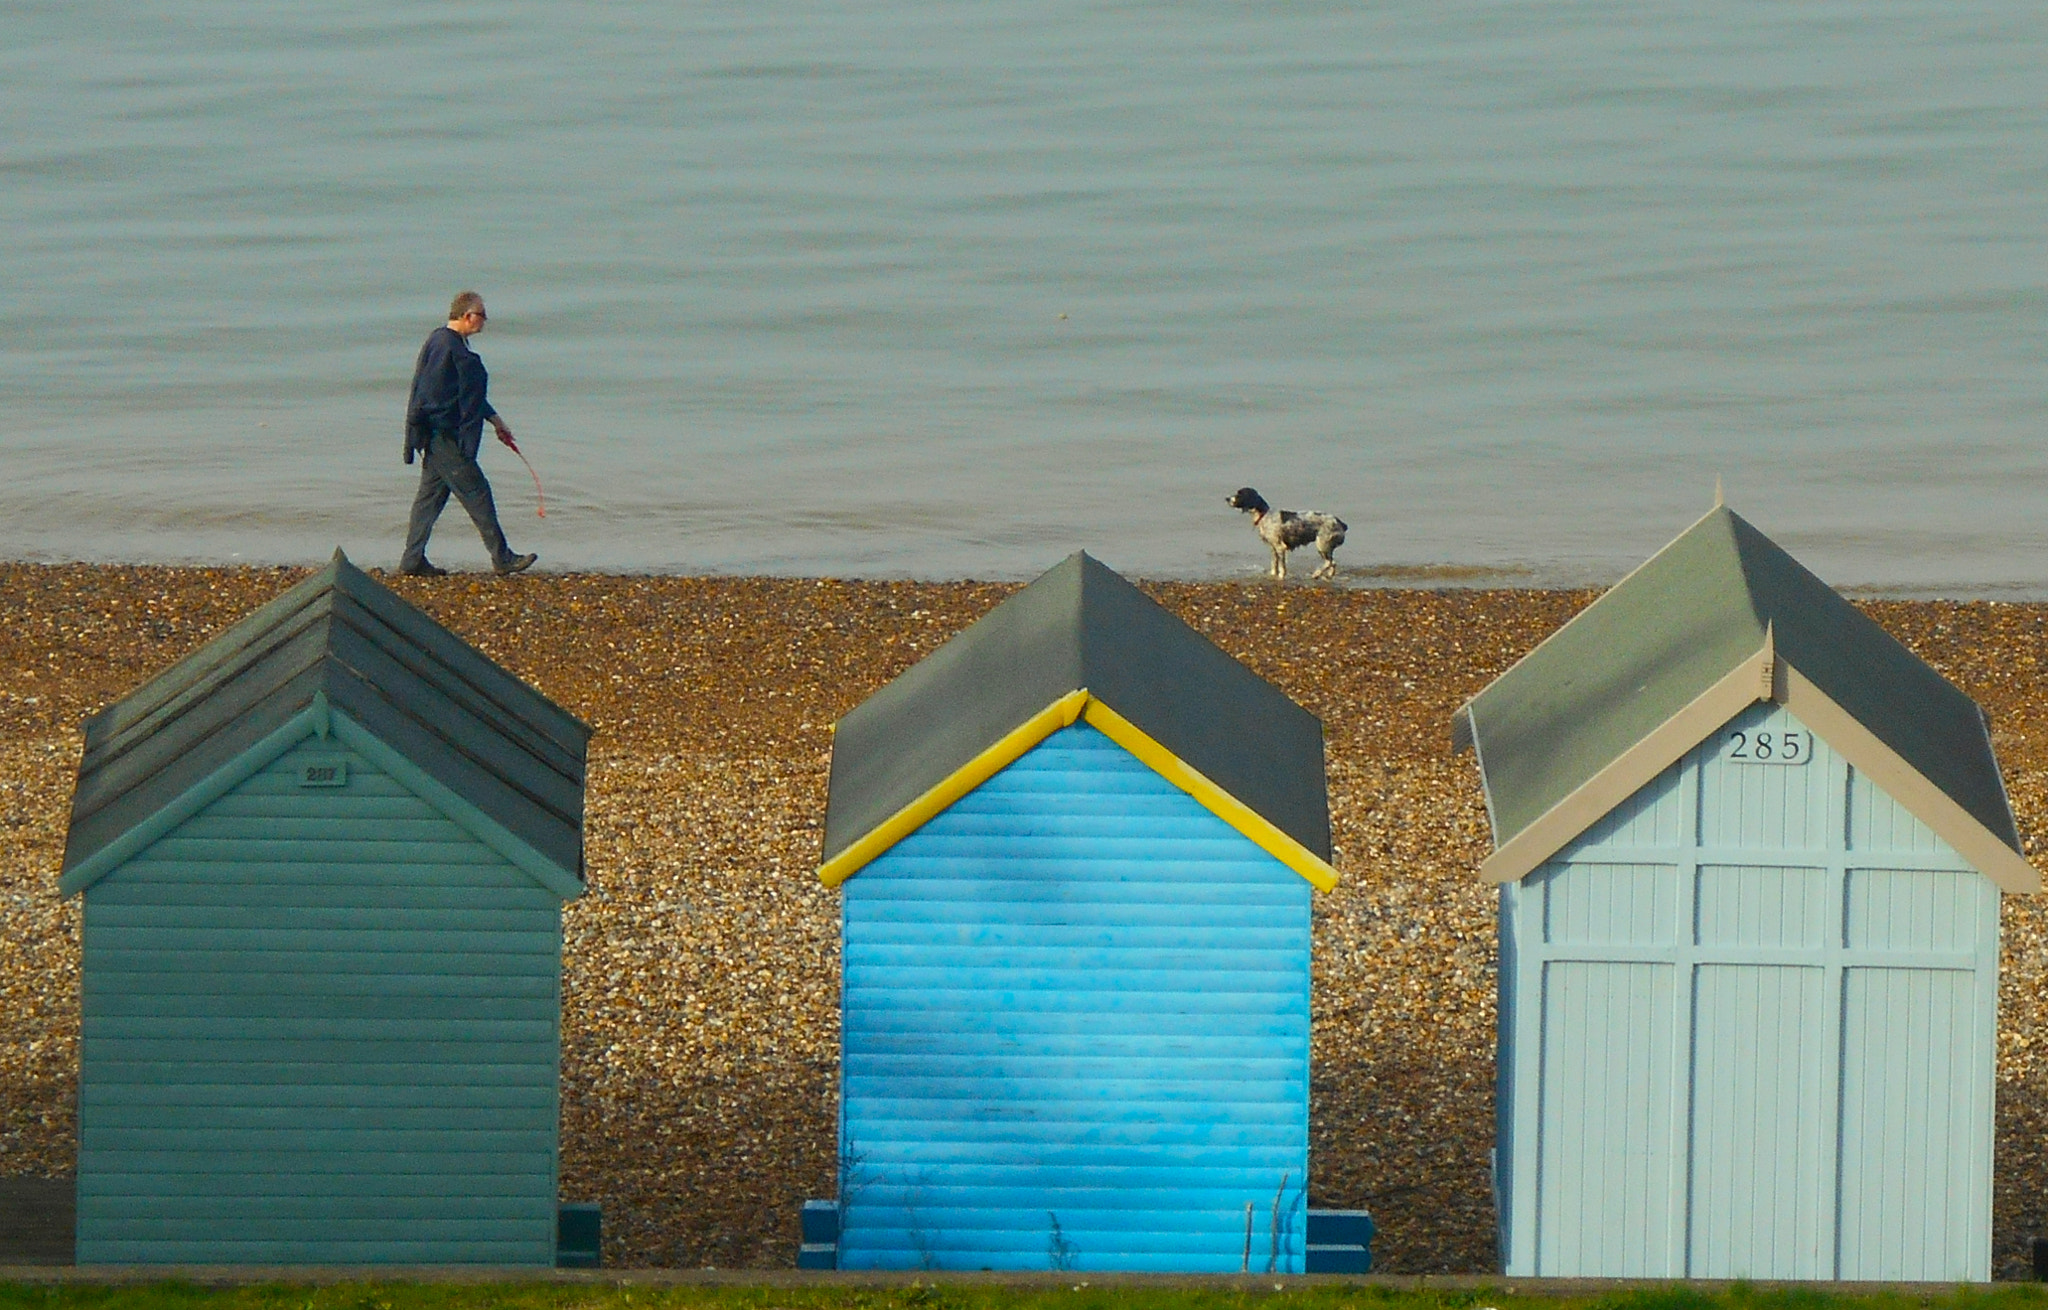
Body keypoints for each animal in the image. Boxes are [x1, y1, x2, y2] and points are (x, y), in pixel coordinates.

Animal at [1220, 487, 1351, 577]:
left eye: (1240, 493)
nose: (1226, 498)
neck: (1264, 515)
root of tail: (1340, 523)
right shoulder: (1272, 547)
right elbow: (1274, 564)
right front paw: (1273, 575)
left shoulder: (1280, 547)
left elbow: (1282, 567)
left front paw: (1281, 577)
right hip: (1326, 547)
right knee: (1333, 563)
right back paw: (1328, 575)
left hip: (1322, 545)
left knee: (1329, 562)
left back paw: (1316, 574)